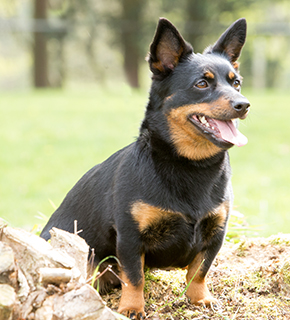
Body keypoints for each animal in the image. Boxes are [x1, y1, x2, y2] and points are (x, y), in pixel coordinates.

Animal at [40, 18, 249, 320]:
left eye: (236, 83)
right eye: (201, 84)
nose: (243, 105)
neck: (189, 165)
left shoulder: (216, 234)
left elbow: (199, 271)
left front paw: (199, 299)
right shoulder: (129, 237)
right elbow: (134, 276)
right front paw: (131, 307)